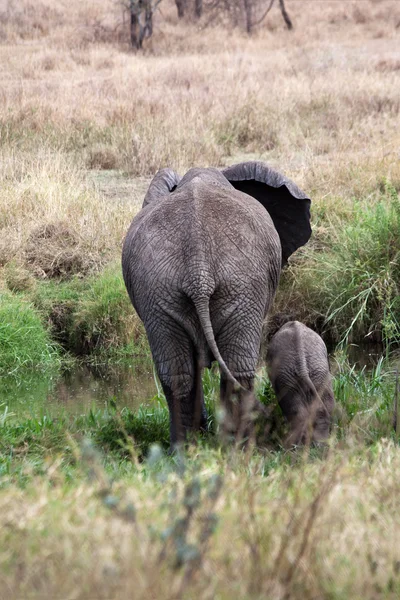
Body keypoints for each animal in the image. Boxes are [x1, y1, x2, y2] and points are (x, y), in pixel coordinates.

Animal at [122, 163, 312, 446]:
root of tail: (198, 264)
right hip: (241, 287)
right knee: (238, 370)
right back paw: (237, 445)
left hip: (158, 290)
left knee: (179, 374)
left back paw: (185, 449)